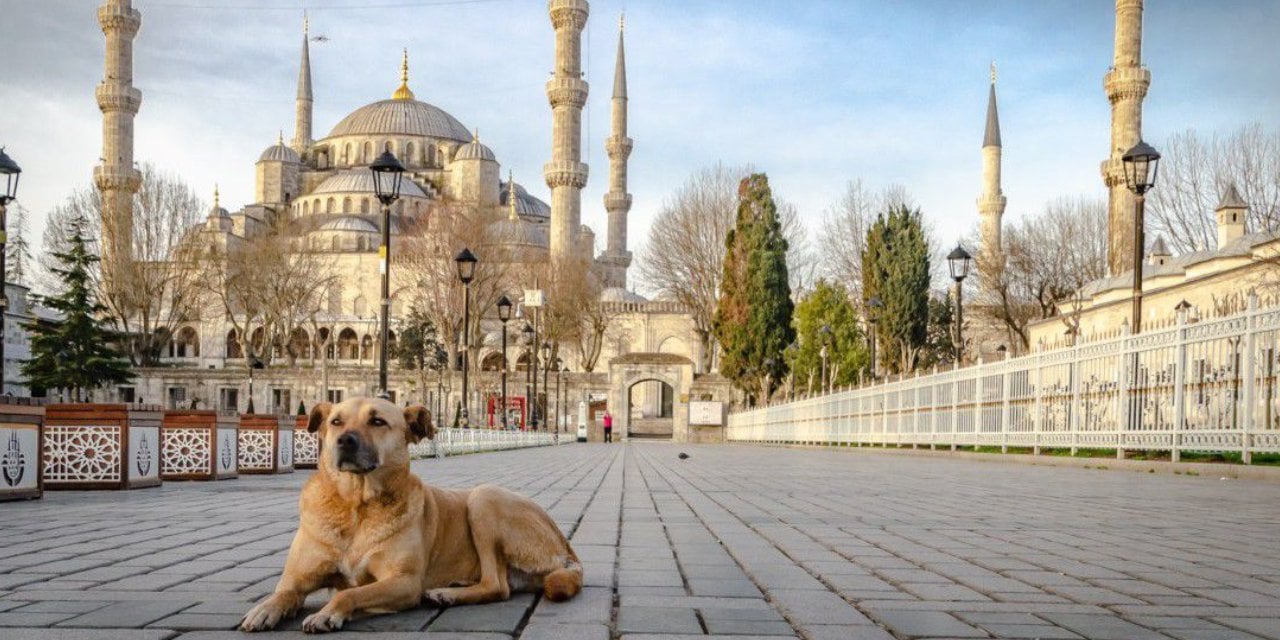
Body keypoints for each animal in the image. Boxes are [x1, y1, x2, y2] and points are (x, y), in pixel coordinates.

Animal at [239, 396, 581, 632]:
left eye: (377, 421)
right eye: (336, 421)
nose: (345, 440)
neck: (356, 508)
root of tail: (567, 549)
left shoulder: (403, 582)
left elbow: (348, 595)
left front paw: (326, 613)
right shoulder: (297, 579)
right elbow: (283, 592)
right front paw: (264, 609)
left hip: (484, 498)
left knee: (497, 585)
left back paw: (445, 594)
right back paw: (454, 587)